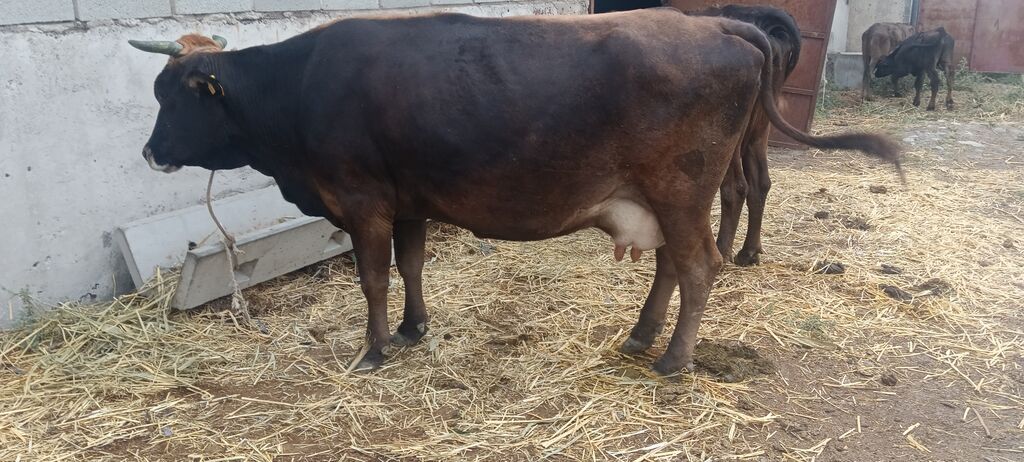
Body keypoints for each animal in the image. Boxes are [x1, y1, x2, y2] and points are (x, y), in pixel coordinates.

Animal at [130, 9, 901, 375]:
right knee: (670, 267)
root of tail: (721, 22)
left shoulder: (362, 203)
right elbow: (411, 268)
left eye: (176, 94)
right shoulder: (408, 202)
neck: (297, 88)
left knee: (700, 267)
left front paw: (373, 350)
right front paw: (412, 330)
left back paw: (673, 360)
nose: (150, 152)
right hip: (663, 198)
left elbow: (374, 280)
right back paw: (640, 335)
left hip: (683, 190)